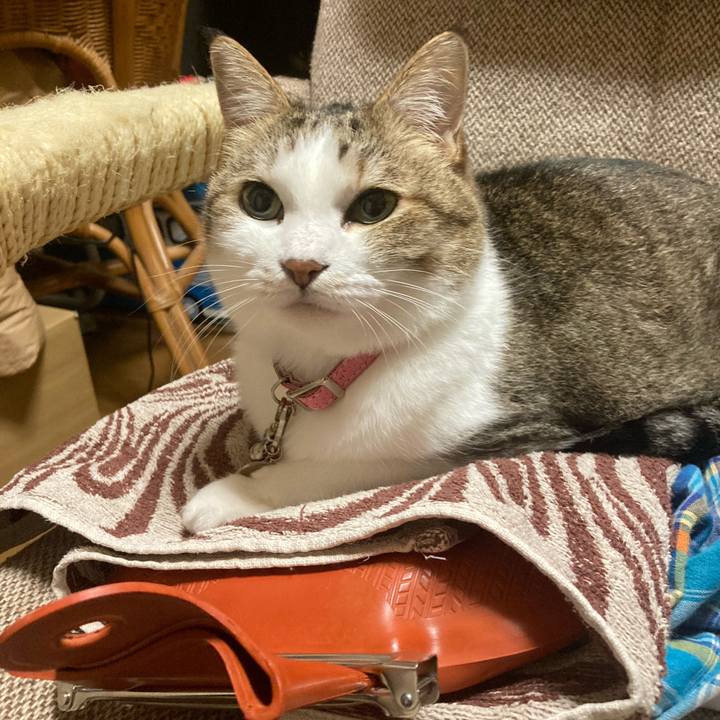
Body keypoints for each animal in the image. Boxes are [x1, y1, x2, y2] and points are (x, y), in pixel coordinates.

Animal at [182, 31, 720, 533]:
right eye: (259, 201)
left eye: (375, 206)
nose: (300, 265)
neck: (323, 373)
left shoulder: (514, 434)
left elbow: (351, 464)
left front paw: (236, 491)